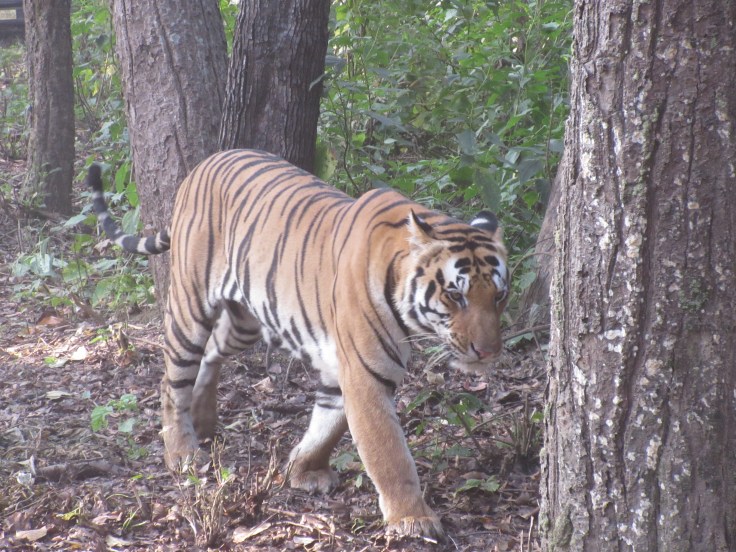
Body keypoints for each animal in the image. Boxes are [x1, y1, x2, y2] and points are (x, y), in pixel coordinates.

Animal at [87, 149, 509, 540]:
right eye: (456, 295)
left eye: (499, 296)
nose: (488, 351)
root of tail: (203, 164)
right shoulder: (366, 374)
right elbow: (388, 452)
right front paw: (412, 519)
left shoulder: (341, 368)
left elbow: (327, 424)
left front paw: (303, 470)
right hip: (190, 306)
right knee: (173, 378)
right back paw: (182, 451)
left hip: (244, 322)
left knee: (211, 355)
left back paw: (203, 421)